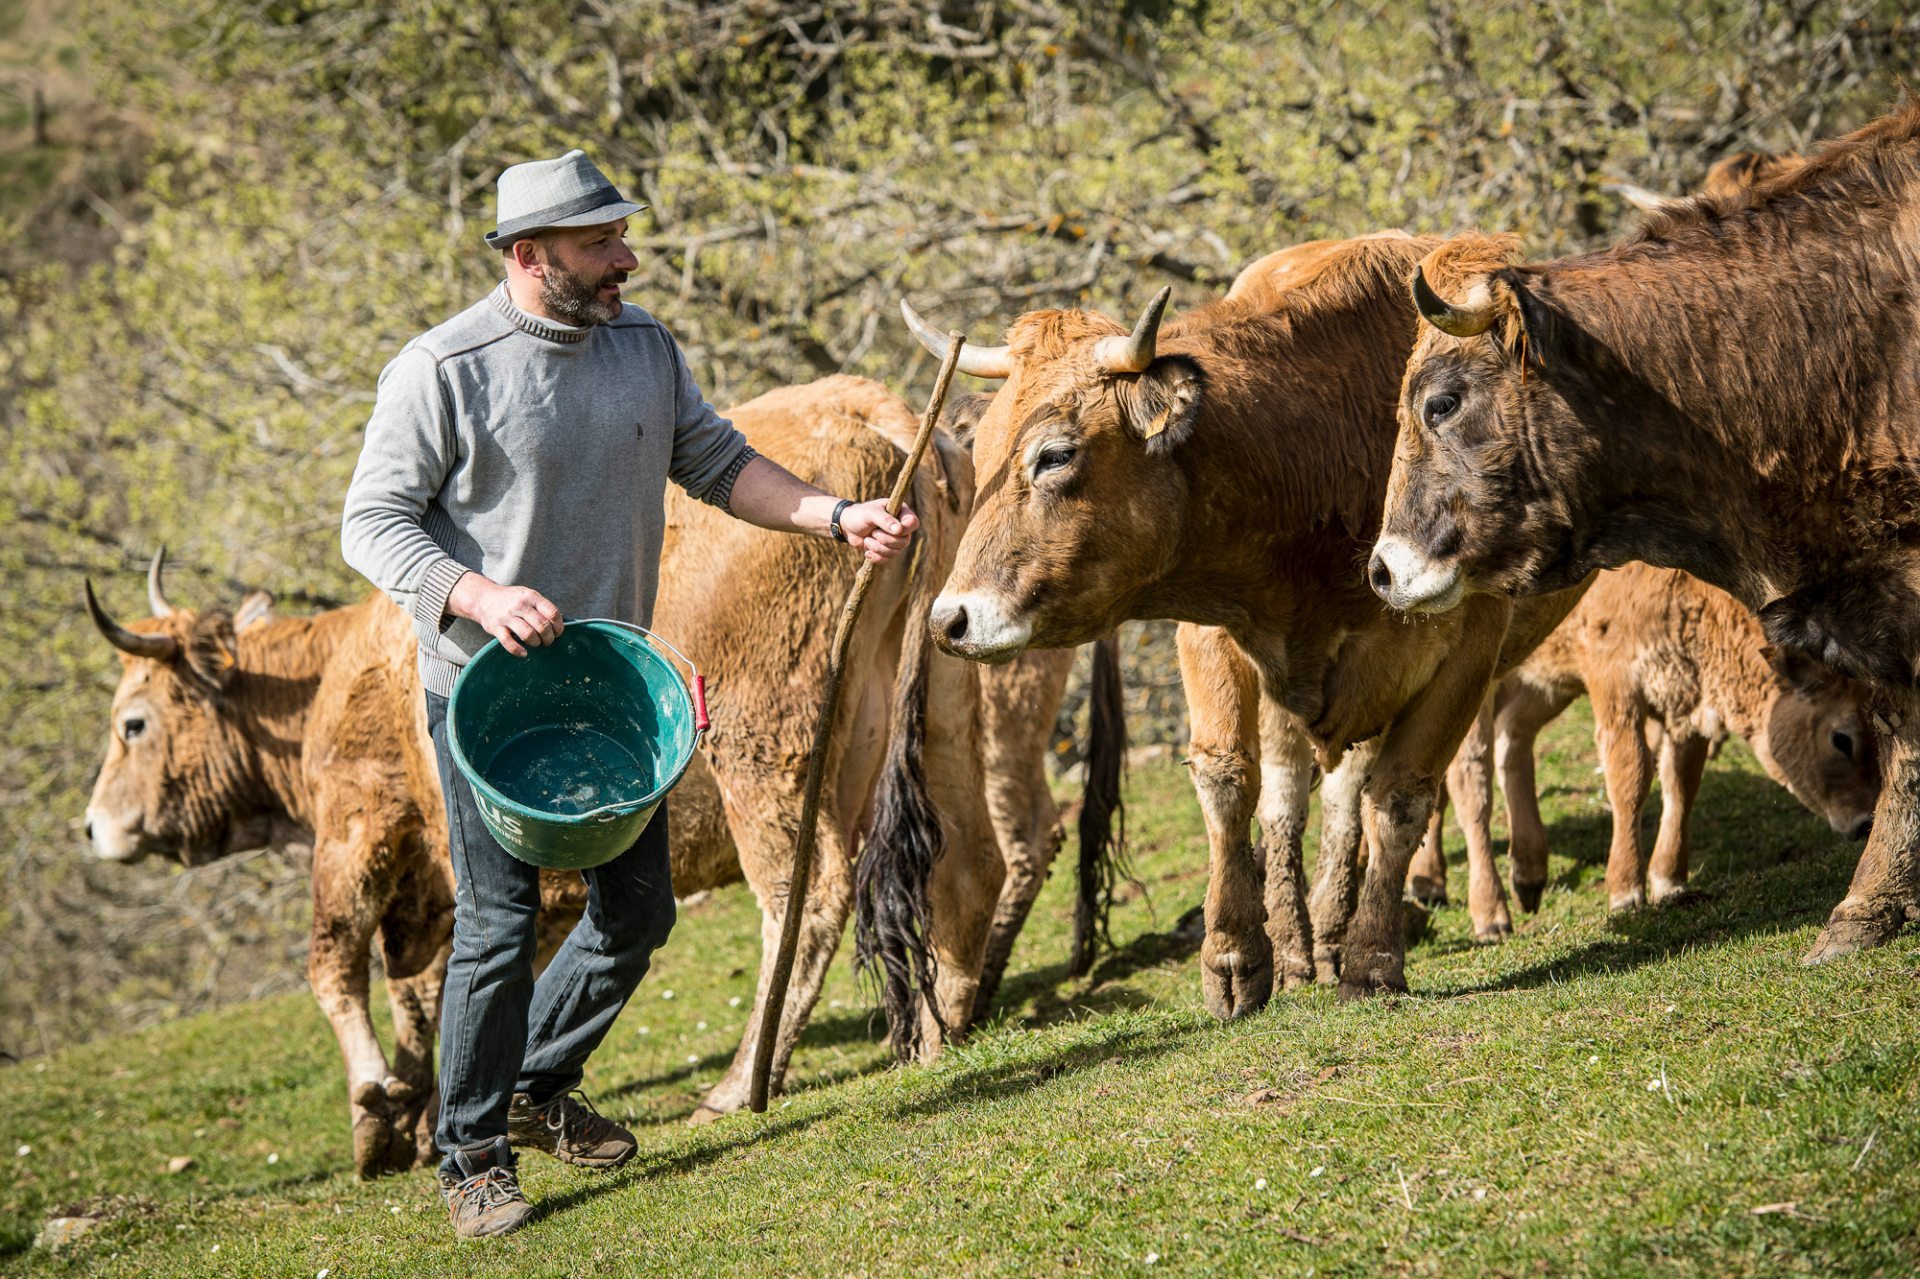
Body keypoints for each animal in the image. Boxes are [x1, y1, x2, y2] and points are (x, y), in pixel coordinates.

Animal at [86, 374, 1113, 1167]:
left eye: (133, 722)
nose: (92, 826)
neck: (337, 670)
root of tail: (877, 410)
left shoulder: (358, 828)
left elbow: (338, 966)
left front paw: (379, 1110)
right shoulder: (455, 892)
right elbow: (443, 991)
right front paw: (433, 1112)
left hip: (767, 753)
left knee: (809, 897)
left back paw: (741, 1082)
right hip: (944, 707)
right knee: (970, 861)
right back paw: (941, 1030)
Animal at [898, 234, 1589, 998]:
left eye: (1054, 455)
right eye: (982, 454)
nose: (950, 620)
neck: (1321, 447)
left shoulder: (1466, 651)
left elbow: (1401, 797)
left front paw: (1373, 958)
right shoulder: (1213, 630)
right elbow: (1231, 780)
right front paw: (1236, 954)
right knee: (1296, 794)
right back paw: (1301, 944)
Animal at [1413, 564, 1873, 910]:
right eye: (1841, 738)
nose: (1865, 822)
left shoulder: (1685, 698)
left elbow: (1681, 785)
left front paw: (1669, 880)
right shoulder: (1615, 684)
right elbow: (1630, 777)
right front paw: (1625, 890)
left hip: (1543, 684)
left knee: (1509, 743)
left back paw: (1516, 874)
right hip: (1475, 691)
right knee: (1467, 780)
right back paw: (1485, 910)